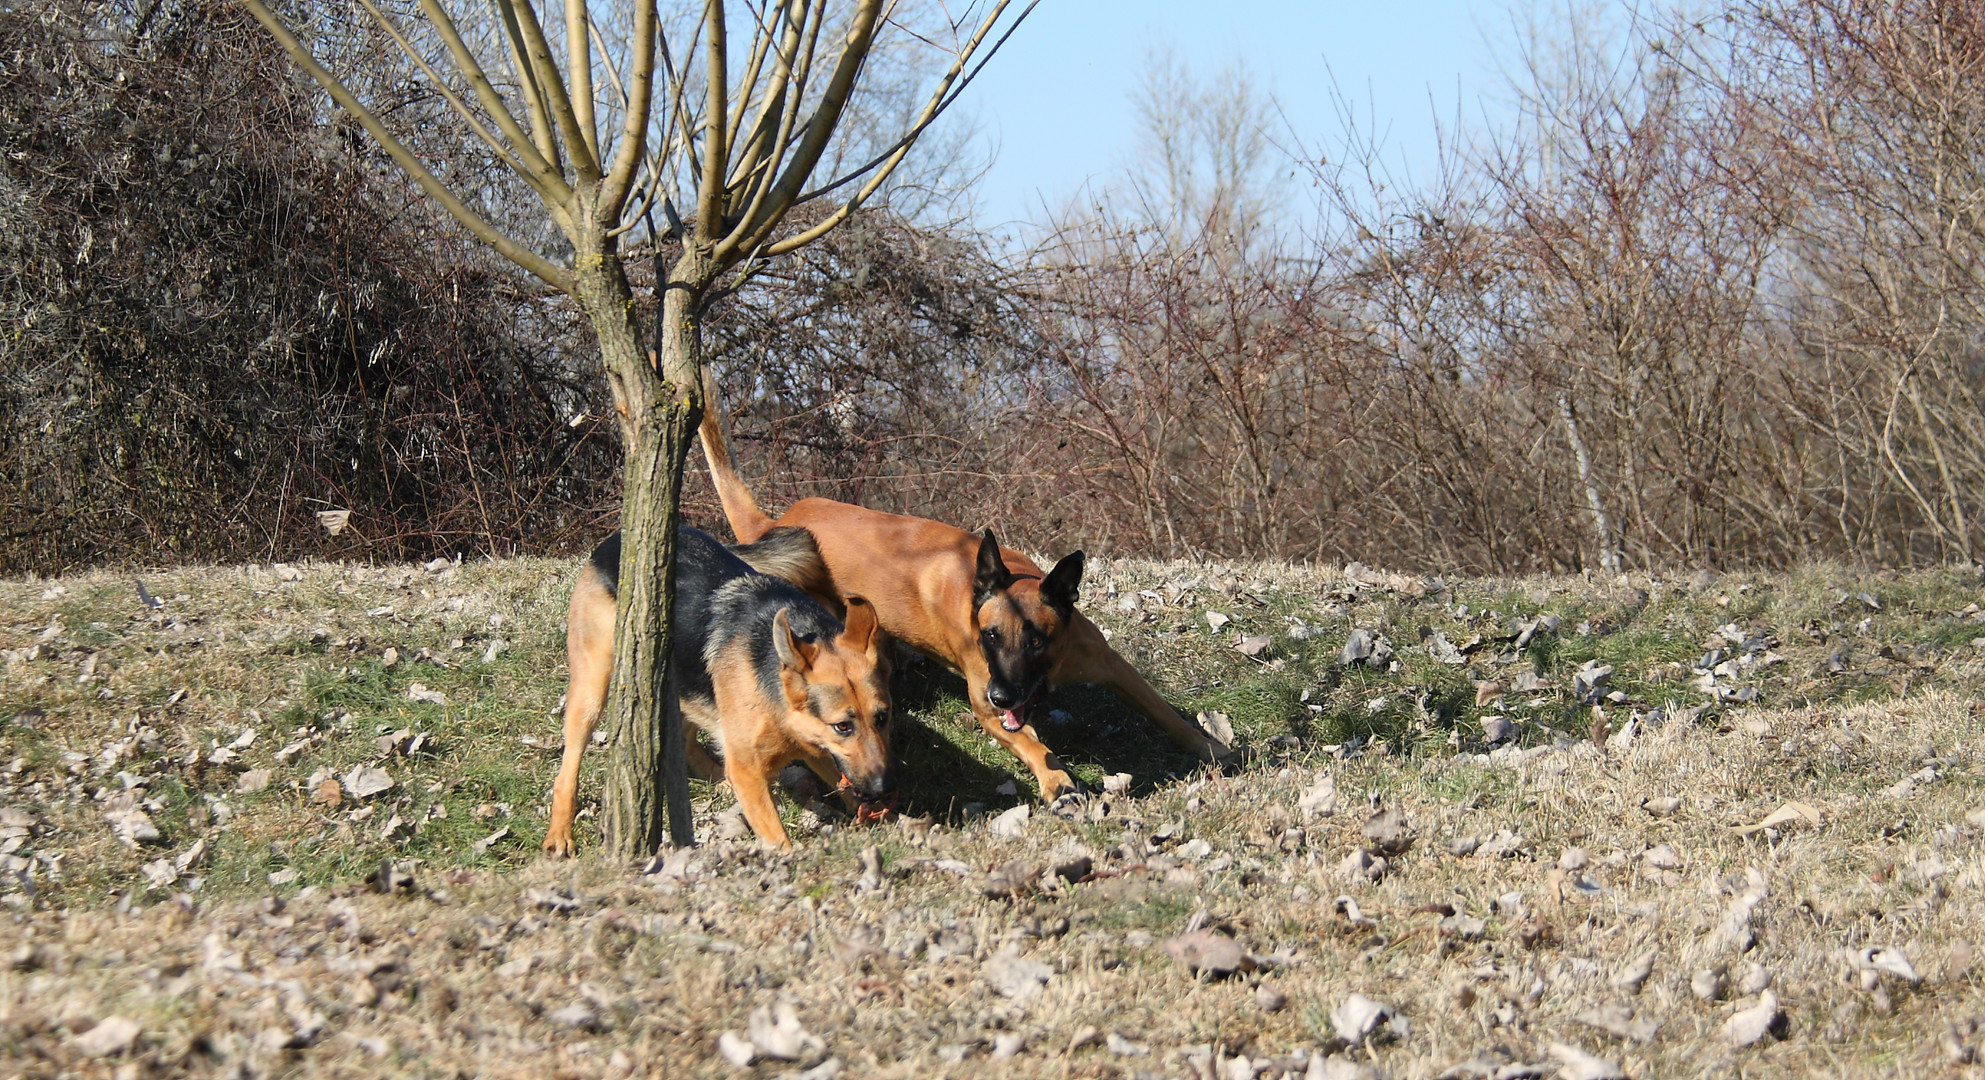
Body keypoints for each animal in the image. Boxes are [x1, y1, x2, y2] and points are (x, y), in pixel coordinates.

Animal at [535, 524, 893, 853]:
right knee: (566, 771)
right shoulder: (750, 771)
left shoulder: (817, 752)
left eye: (882, 718)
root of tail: (616, 539)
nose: (883, 787)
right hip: (593, 690)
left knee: (688, 742)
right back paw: (559, 834)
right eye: (842, 726)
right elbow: (779, 841)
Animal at [694, 373, 1222, 802]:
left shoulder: (1112, 666)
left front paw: (1212, 748)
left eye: (1037, 640)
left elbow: (1165, 711)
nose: (1003, 695)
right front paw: (1057, 781)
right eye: (989, 635)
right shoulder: (986, 705)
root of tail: (771, 525)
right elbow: (1033, 744)